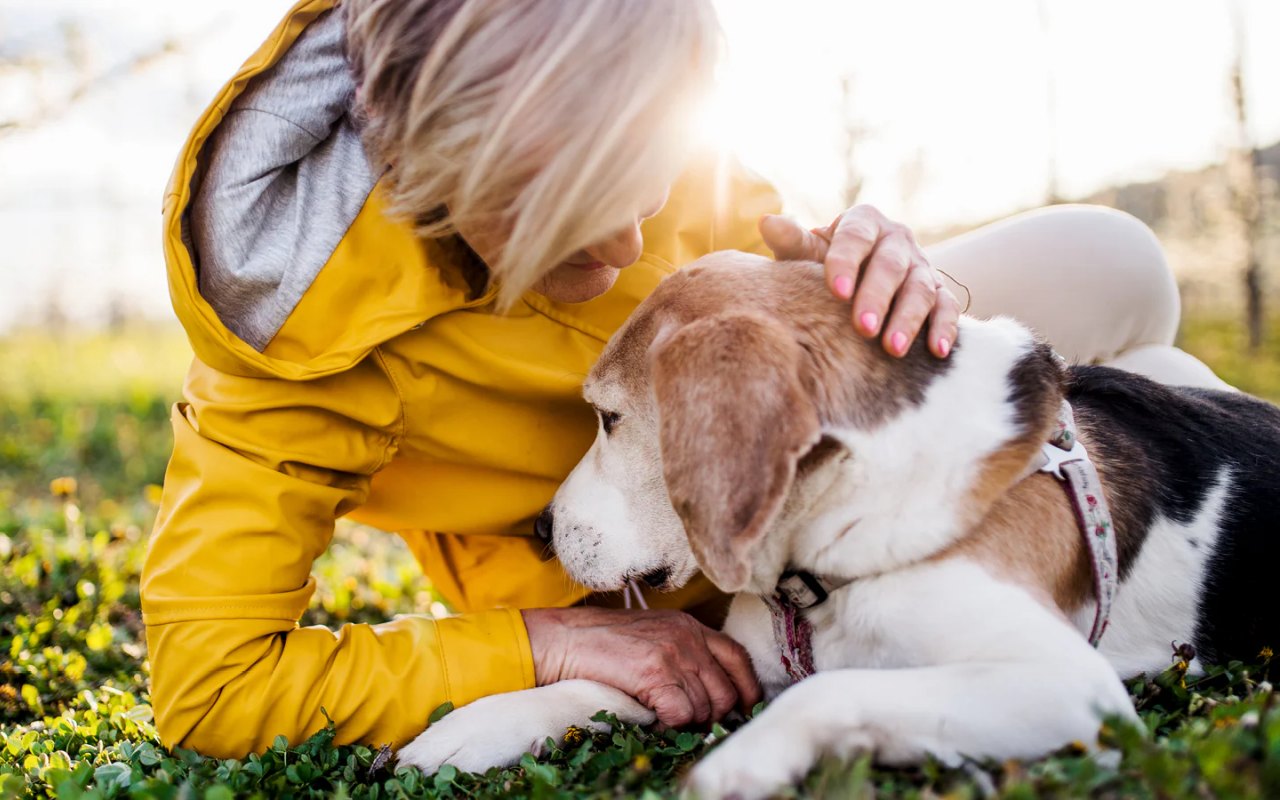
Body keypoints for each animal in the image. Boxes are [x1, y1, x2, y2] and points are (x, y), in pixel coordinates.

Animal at [396, 252, 1280, 793]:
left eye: (609, 419)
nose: (542, 530)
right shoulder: (743, 658)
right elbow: (596, 684)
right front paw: (471, 728)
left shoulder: (1067, 684)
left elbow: (831, 688)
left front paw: (741, 764)